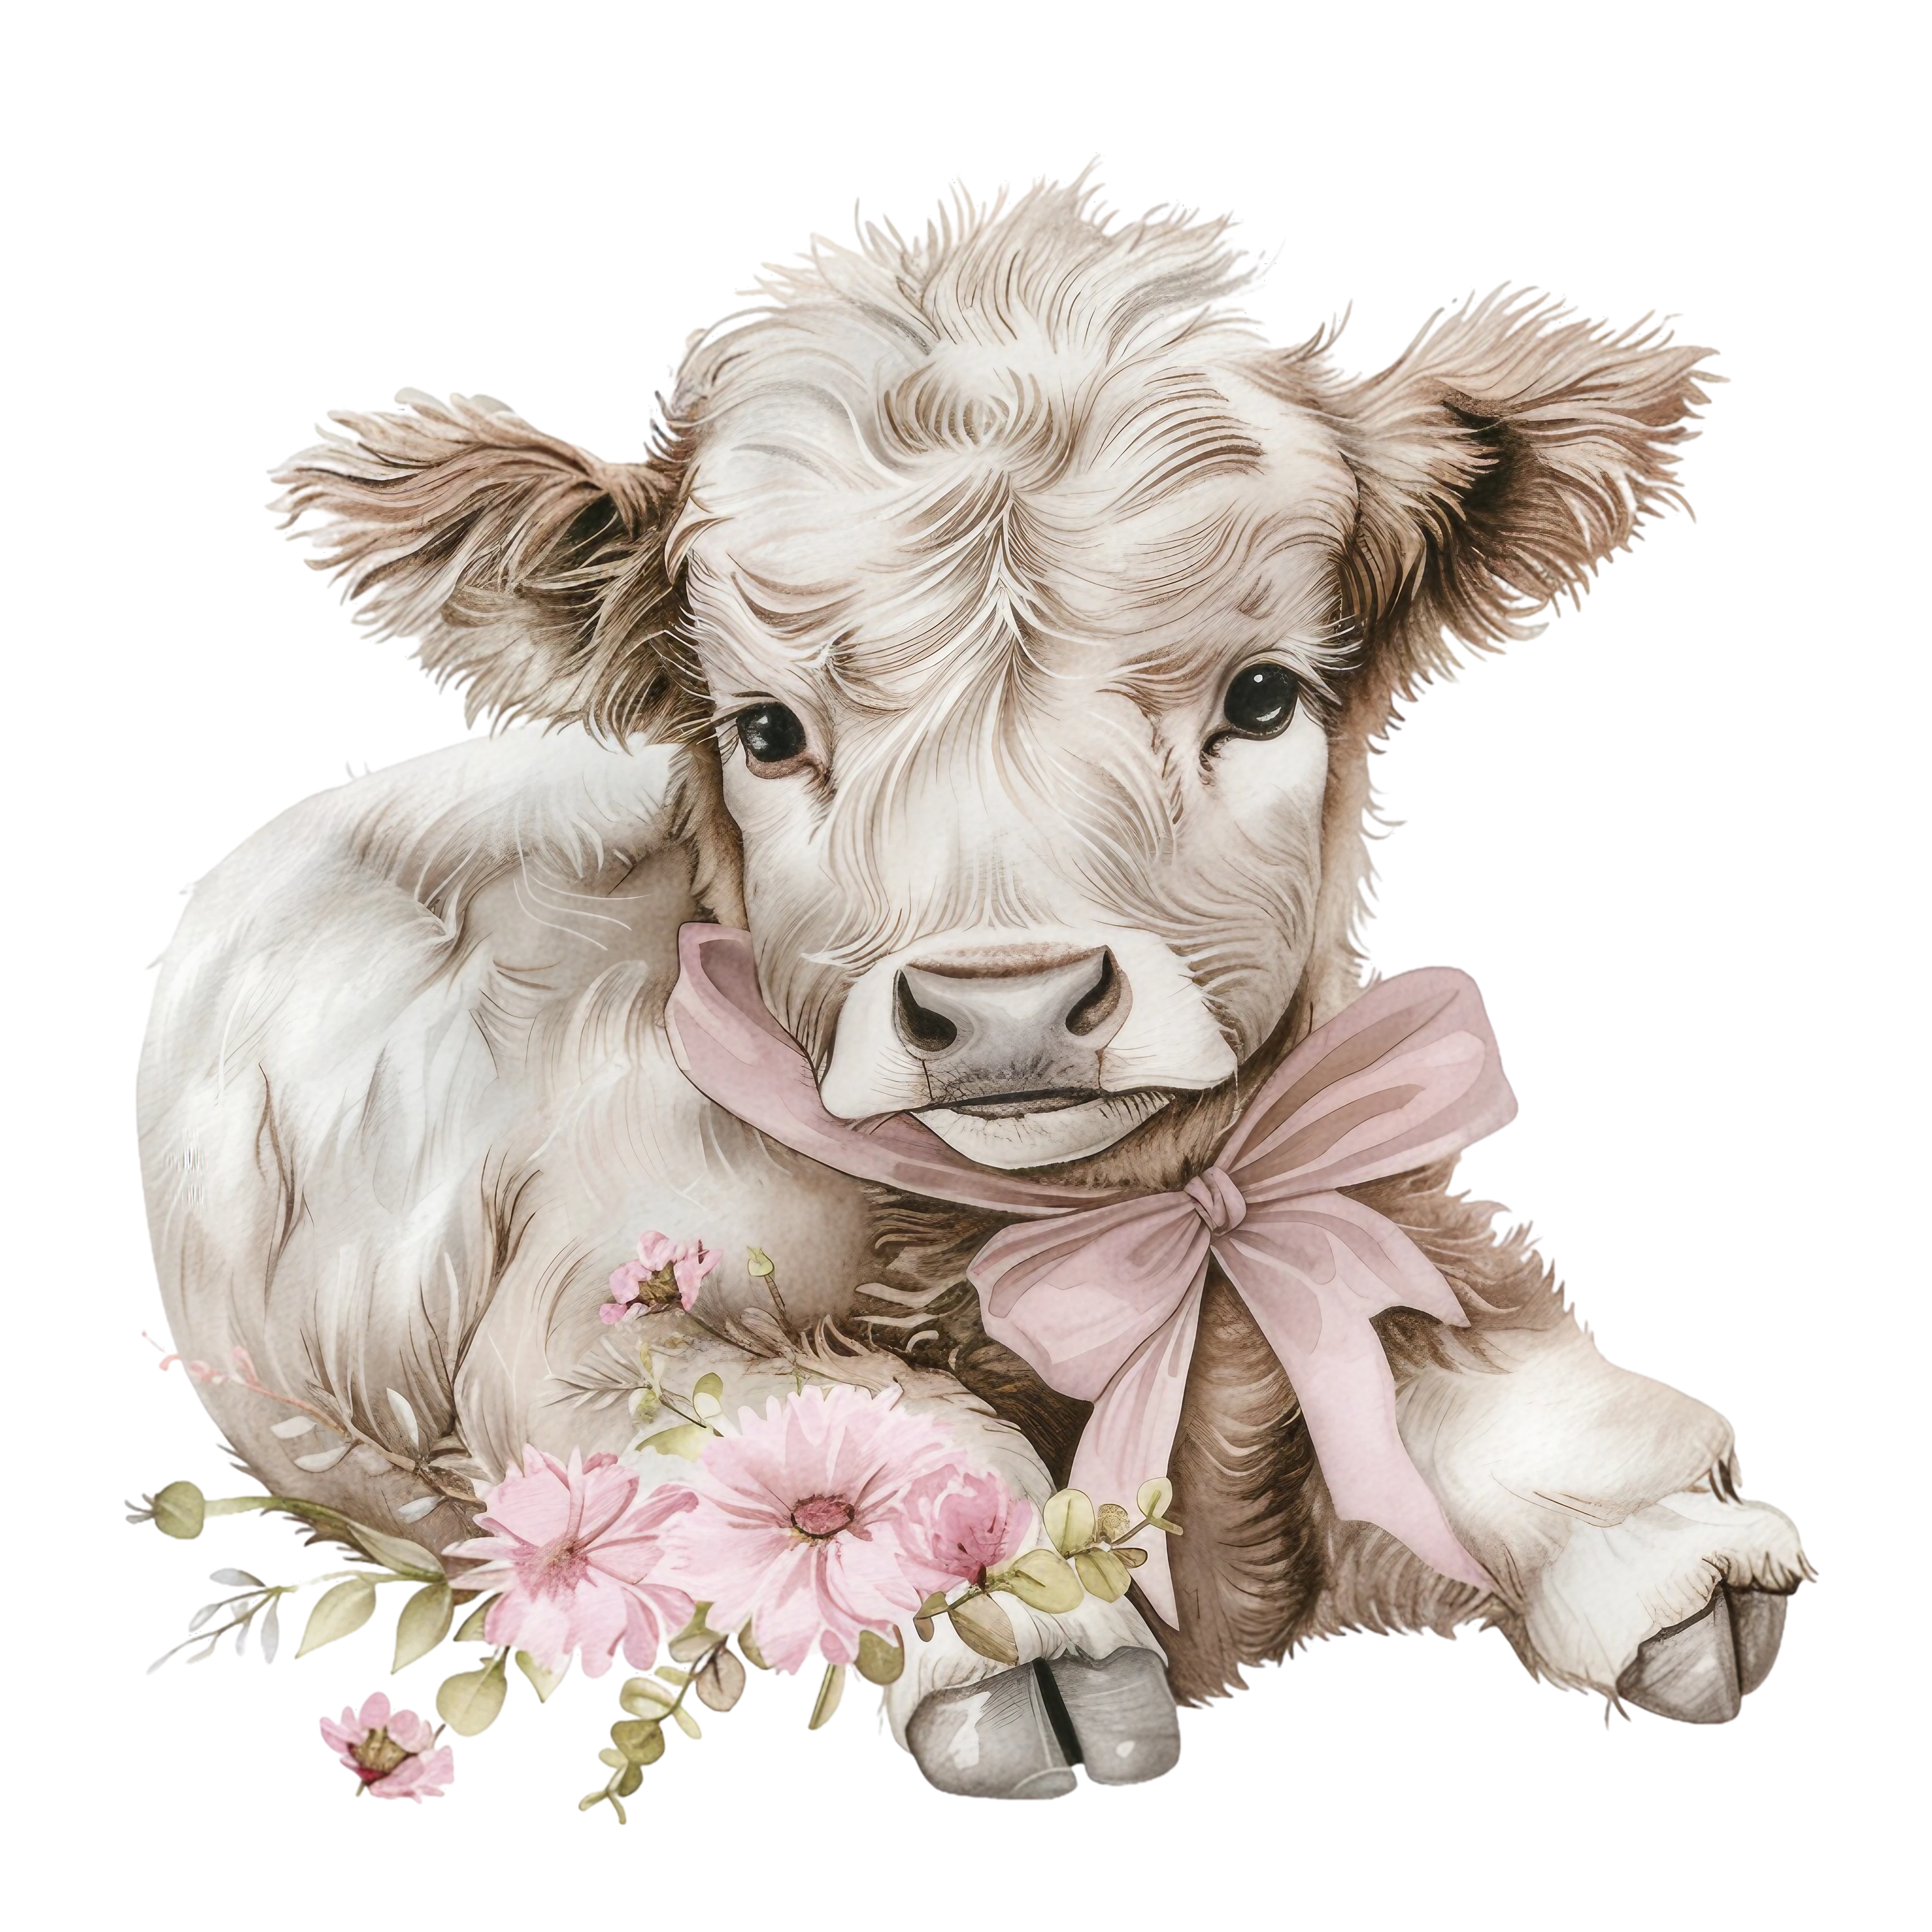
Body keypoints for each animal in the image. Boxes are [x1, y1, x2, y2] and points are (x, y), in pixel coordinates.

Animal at [134, 161, 1813, 1803]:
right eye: (763, 730)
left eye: (1264, 694)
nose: (1008, 1005)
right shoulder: (587, 1350)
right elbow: (865, 1452)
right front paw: (1036, 1647)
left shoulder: (1373, 1204)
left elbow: (1499, 1384)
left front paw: (1669, 1563)